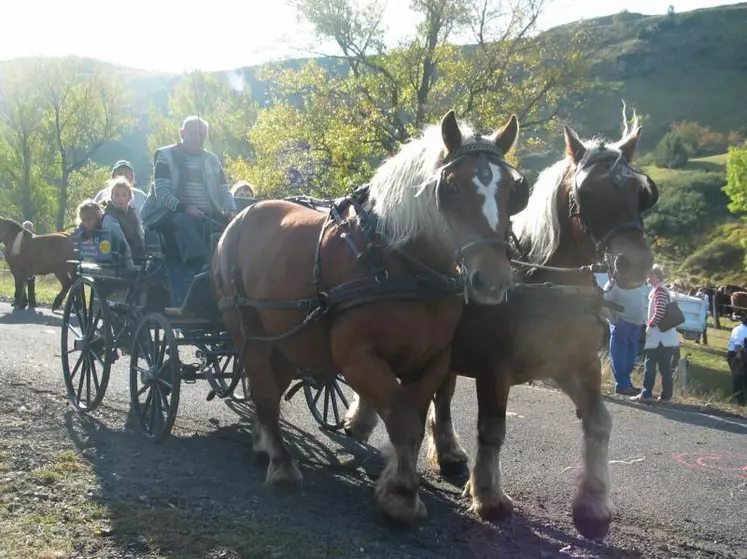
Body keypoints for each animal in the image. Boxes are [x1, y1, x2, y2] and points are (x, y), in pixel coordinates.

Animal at [213, 110, 528, 524]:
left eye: (513, 191)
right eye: (451, 187)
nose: (492, 281)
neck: (401, 263)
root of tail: (240, 217)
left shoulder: (432, 360)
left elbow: (413, 421)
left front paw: (400, 483)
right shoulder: (356, 357)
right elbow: (401, 417)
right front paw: (401, 494)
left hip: (282, 339)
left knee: (268, 386)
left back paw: (263, 445)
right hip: (245, 330)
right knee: (263, 390)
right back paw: (281, 466)